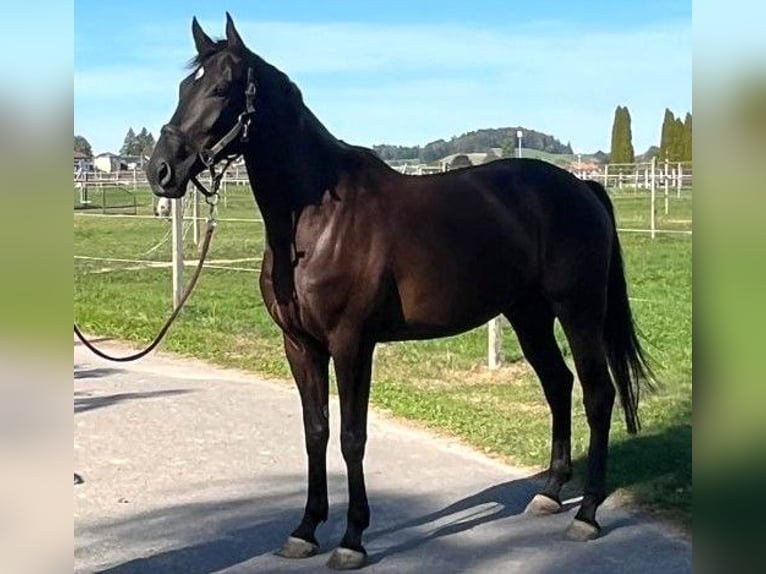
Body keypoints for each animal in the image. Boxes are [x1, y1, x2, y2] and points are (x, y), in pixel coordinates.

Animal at [146, 14, 652, 570]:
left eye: (220, 89)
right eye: (182, 89)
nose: (160, 170)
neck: (316, 222)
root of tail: (582, 189)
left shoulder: (351, 343)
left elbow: (352, 437)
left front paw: (352, 539)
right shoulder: (300, 345)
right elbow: (315, 431)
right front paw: (305, 529)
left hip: (578, 310)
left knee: (598, 394)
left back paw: (587, 515)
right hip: (529, 314)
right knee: (558, 385)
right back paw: (550, 491)